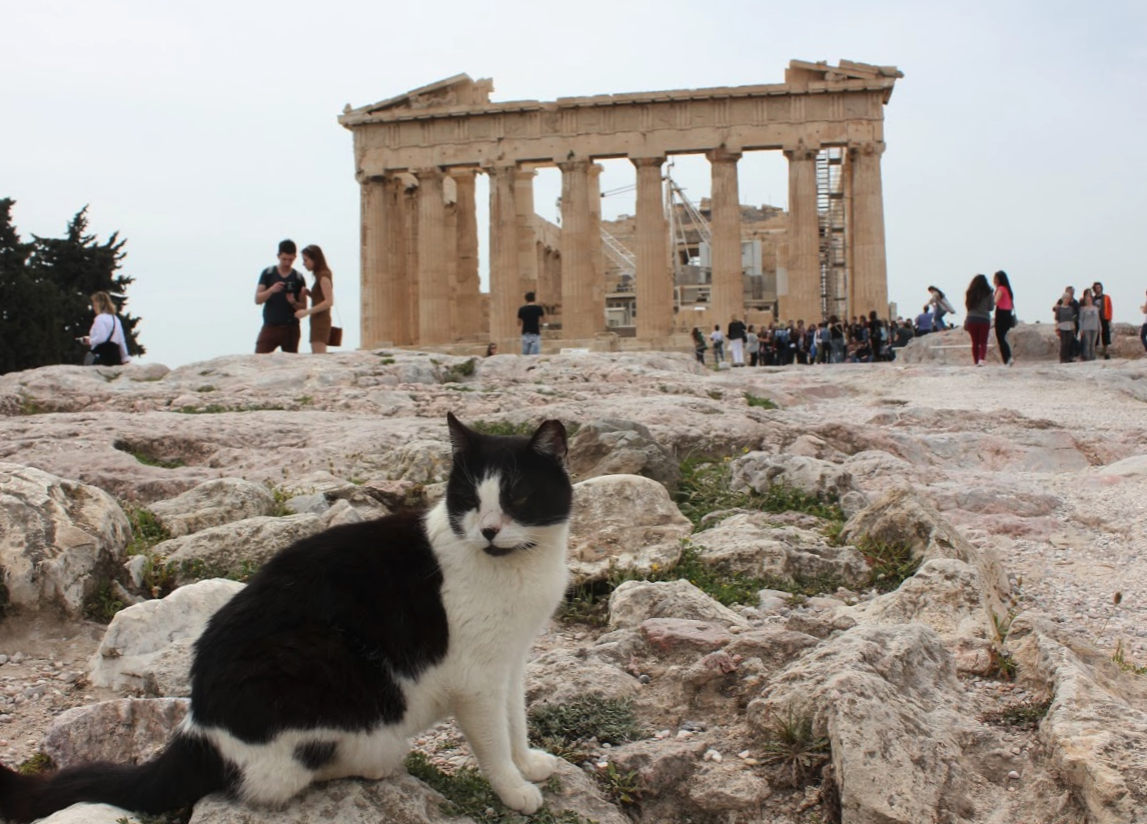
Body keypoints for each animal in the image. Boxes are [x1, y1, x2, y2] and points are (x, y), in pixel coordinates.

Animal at [0, 415, 573, 821]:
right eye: (470, 499)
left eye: (518, 495)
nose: (489, 530)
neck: (518, 566)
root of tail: (198, 729)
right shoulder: (475, 679)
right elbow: (492, 740)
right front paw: (514, 789)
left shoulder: (511, 662)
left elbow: (515, 720)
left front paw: (529, 764)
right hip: (327, 665)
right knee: (279, 778)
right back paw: (371, 762)